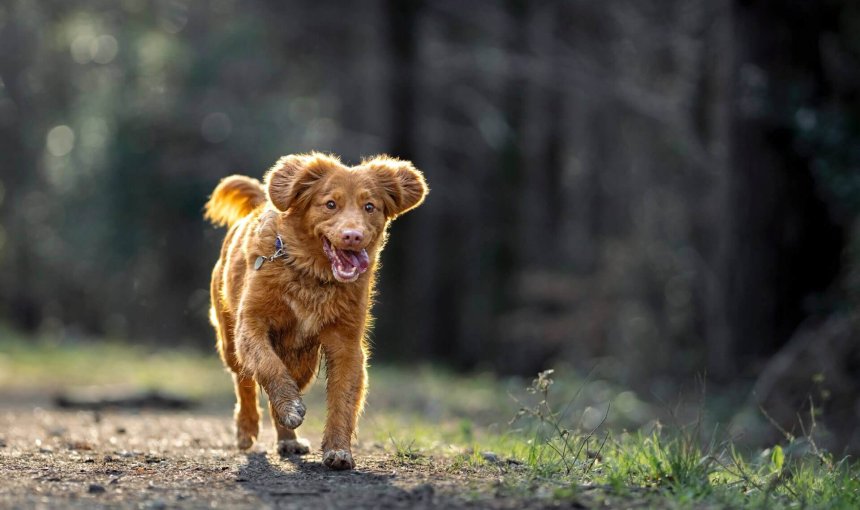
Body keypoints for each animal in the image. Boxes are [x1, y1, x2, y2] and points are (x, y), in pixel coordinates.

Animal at [205, 152, 426, 470]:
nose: (352, 236)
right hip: (229, 340)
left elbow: (343, 398)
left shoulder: (346, 343)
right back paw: (247, 429)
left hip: (304, 361)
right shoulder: (252, 324)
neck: (312, 276)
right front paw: (289, 406)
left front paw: (338, 450)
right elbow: (267, 366)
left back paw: (288, 439)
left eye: (369, 207)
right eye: (330, 204)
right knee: (244, 381)